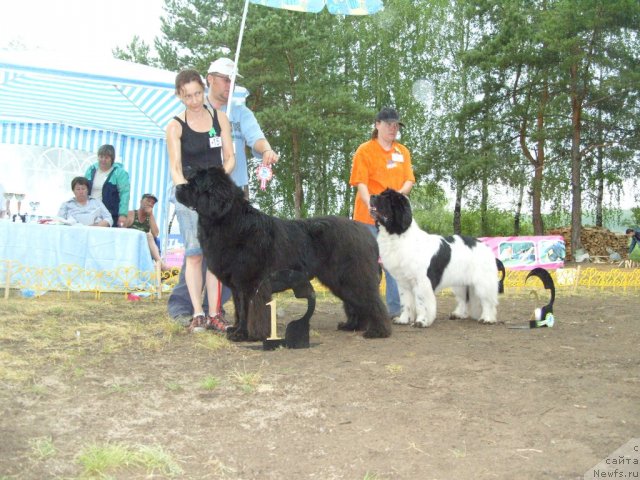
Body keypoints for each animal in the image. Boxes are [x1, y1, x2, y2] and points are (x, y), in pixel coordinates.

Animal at [175, 168, 390, 342]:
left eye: (193, 183)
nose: (177, 187)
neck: (228, 220)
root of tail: (366, 233)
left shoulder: (249, 284)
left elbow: (247, 310)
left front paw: (243, 335)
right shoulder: (237, 286)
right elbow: (238, 309)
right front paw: (235, 329)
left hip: (352, 275)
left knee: (372, 301)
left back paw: (378, 331)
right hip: (340, 280)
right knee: (355, 302)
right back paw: (352, 326)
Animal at [370, 189, 504, 328]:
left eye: (388, 198)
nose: (372, 196)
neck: (398, 235)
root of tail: (486, 247)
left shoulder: (422, 281)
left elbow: (421, 302)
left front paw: (421, 321)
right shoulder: (403, 283)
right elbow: (405, 303)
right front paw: (403, 319)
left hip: (483, 282)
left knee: (487, 301)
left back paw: (487, 318)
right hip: (460, 283)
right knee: (463, 299)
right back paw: (458, 314)